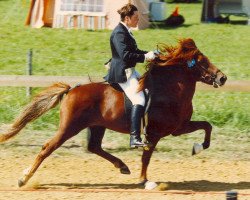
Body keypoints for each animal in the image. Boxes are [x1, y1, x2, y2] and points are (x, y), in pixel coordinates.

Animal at [0, 38, 227, 188]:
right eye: (202, 62)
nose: (222, 78)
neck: (169, 89)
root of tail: (72, 90)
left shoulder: (178, 128)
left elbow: (207, 126)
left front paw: (198, 148)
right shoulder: (154, 133)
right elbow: (146, 157)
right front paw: (144, 180)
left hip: (97, 126)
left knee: (94, 147)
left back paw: (122, 166)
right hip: (69, 127)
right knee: (48, 147)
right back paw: (23, 179)